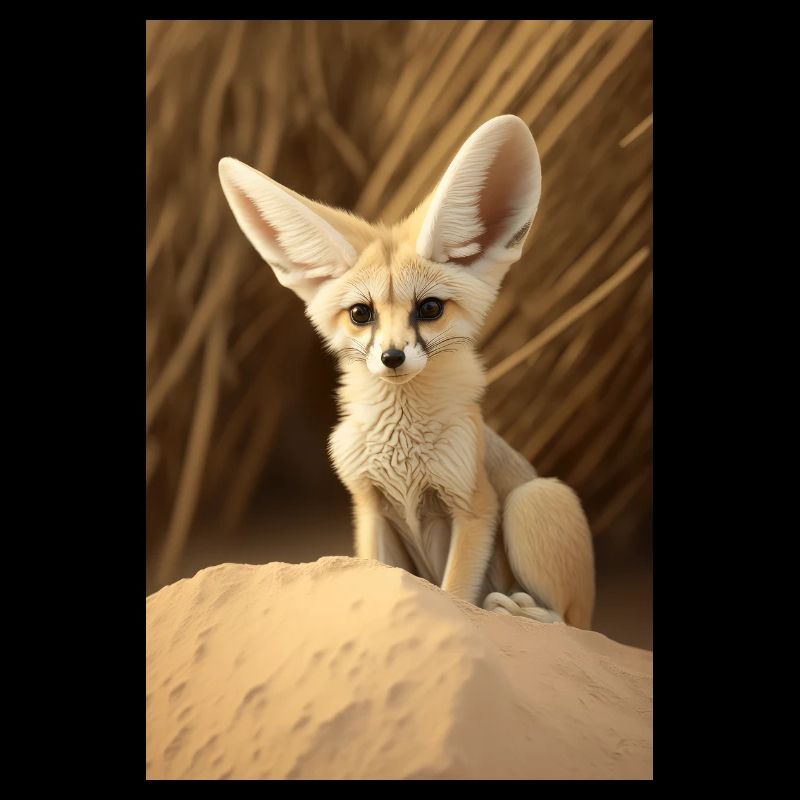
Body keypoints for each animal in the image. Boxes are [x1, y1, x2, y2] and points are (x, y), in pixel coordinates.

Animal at [218, 114, 595, 628]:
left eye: (429, 308)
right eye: (361, 314)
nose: (392, 358)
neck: (403, 453)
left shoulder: (473, 504)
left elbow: (455, 594)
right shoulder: (369, 505)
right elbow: (378, 575)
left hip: (533, 500)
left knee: (571, 623)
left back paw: (524, 611)